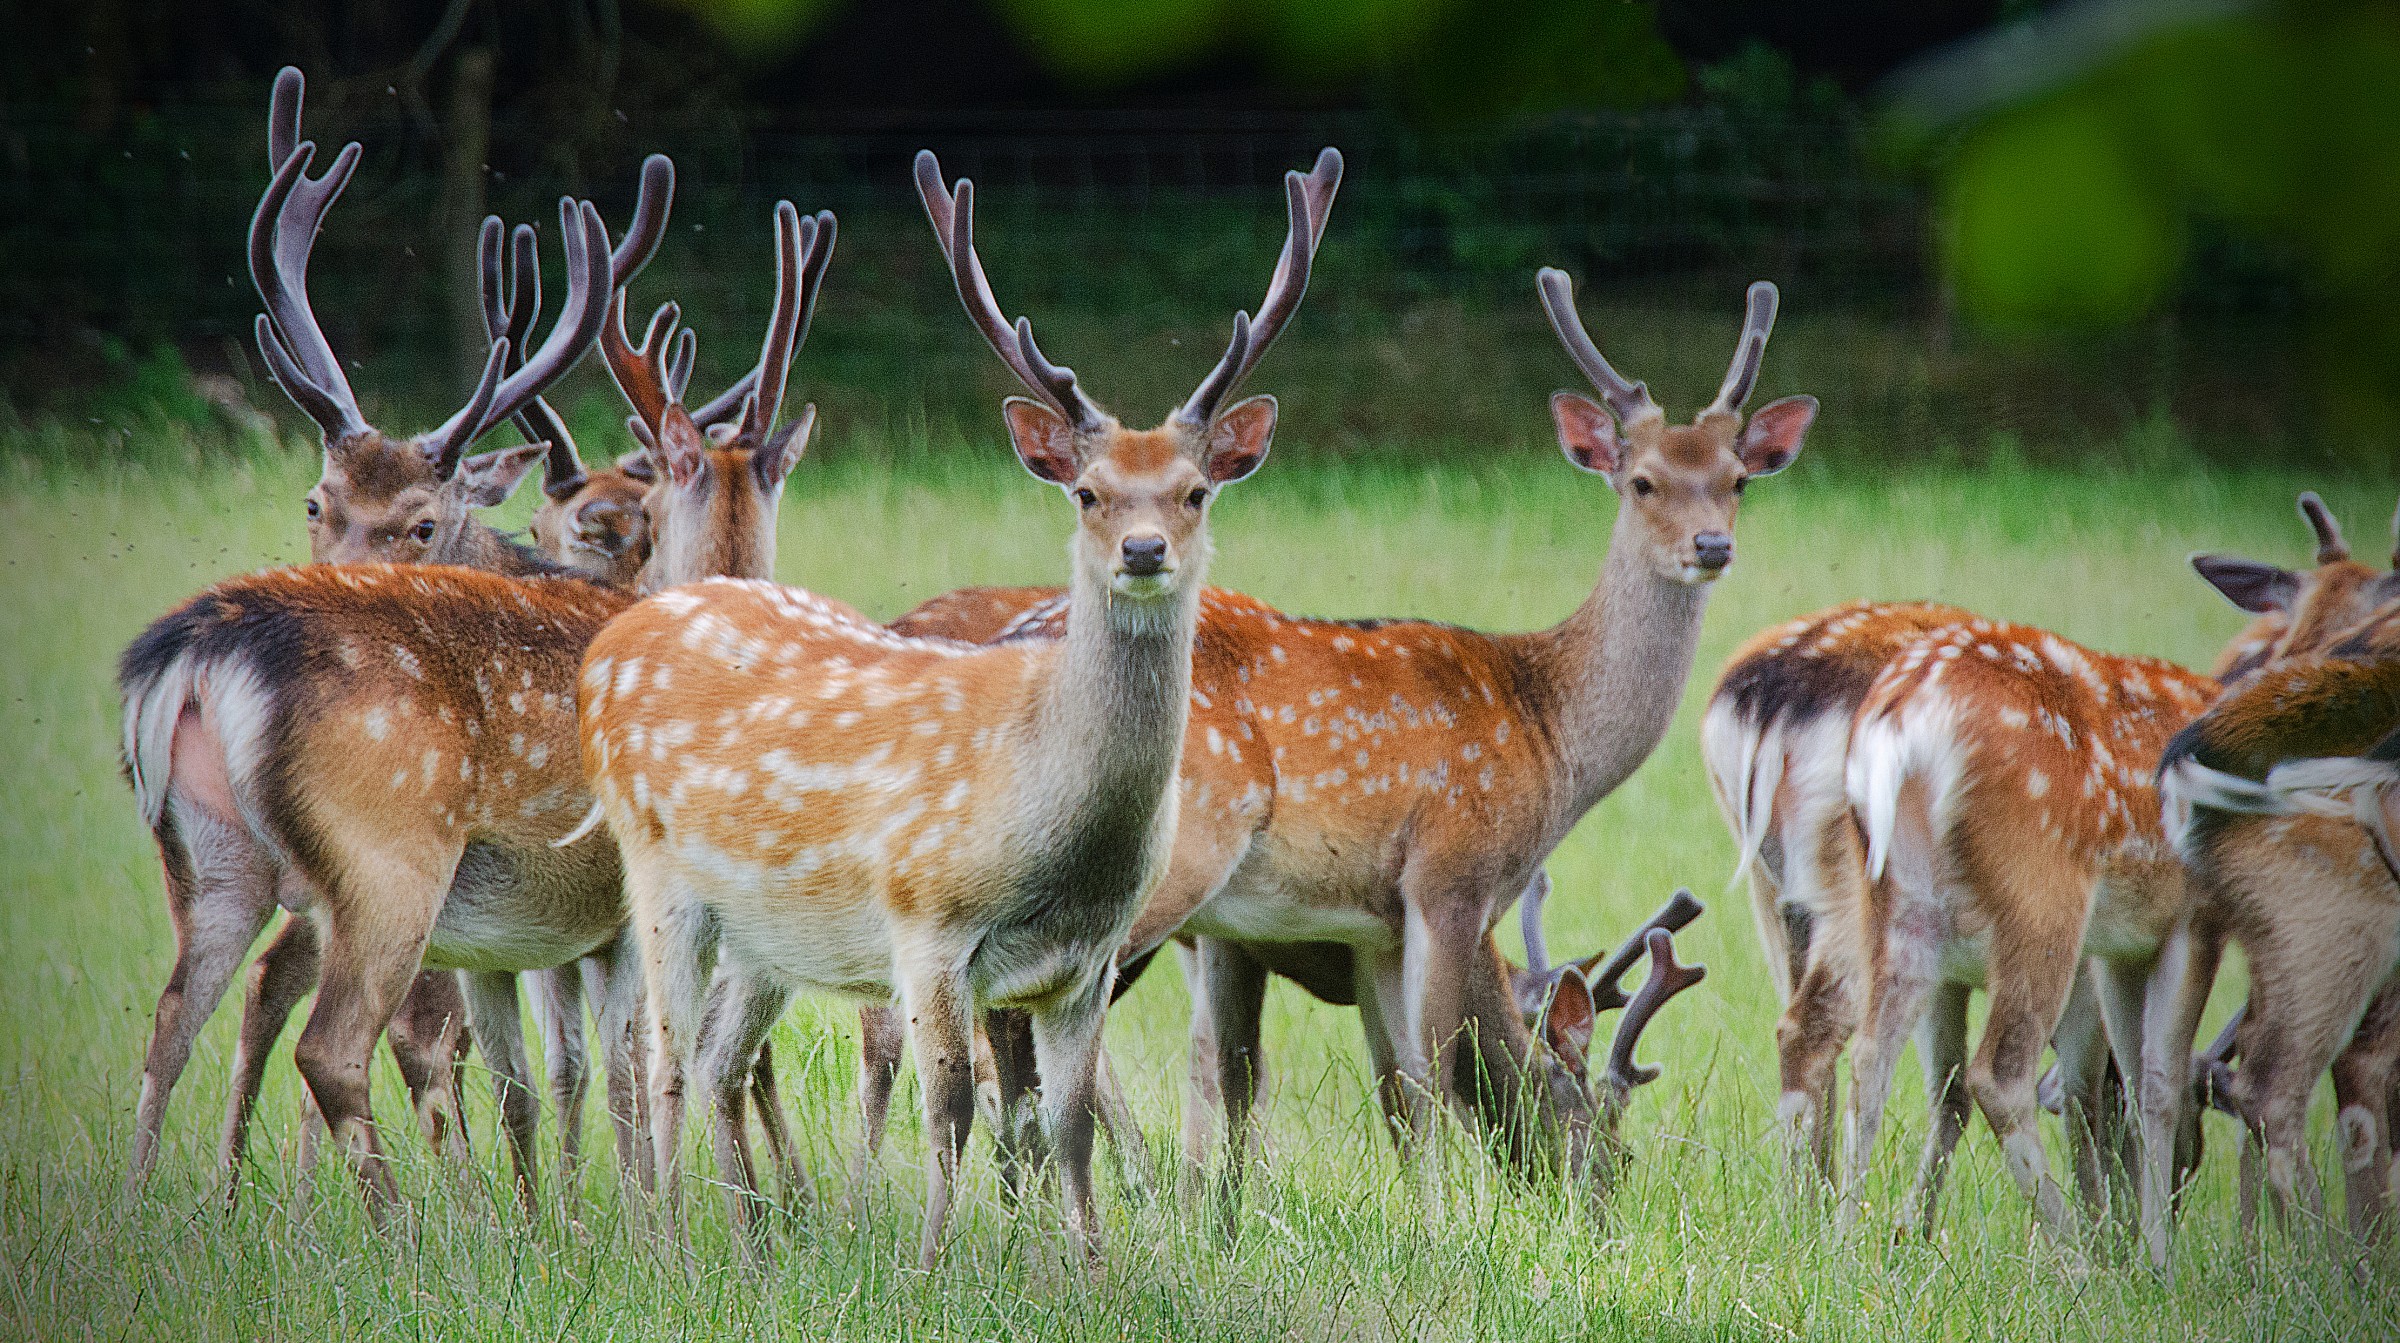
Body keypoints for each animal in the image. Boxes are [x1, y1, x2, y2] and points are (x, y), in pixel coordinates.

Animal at [118, 146, 835, 1220]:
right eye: (319, 504)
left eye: (422, 522)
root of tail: (194, 652)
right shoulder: (629, 904)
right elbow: (634, 1067)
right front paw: (650, 1223)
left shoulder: (529, 939)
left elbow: (546, 1075)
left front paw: (566, 1222)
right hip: (388, 857)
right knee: (336, 1045)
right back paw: (408, 1230)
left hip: (213, 860)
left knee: (177, 1021)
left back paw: (149, 1213)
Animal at [574, 146, 1334, 1269]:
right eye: (1087, 491)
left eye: (1195, 490)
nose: (1143, 550)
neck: (1056, 827)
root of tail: (607, 648)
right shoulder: (926, 918)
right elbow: (953, 1103)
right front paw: (930, 1264)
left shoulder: (1085, 959)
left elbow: (1067, 1119)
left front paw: (1090, 1267)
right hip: (659, 870)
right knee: (662, 1056)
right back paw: (671, 1246)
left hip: (767, 932)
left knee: (717, 1055)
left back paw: (749, 1251)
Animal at [873, 266, 1812, 1216]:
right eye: (1645, 481)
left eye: (1738, 479)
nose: (1711, 544)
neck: (1547, 728)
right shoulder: (1450, 874)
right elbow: (1432, 1069)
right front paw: (1453, 1216)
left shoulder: (1362, 926)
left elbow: (1373, 1080)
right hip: (1162, 861)